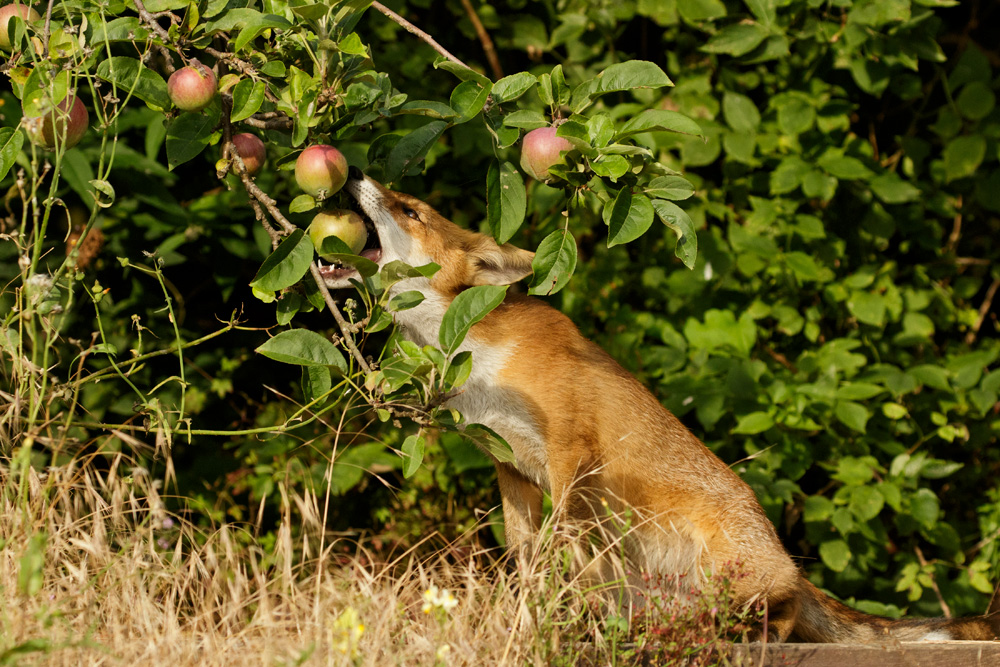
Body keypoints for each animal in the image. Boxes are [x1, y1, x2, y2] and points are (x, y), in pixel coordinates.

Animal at [318, 167, 1000, 643]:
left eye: (409, 210)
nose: (355, 174)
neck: (477, 357)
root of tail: (790, 564)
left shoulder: (570, 447)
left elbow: (563, 552)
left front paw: (552, 620)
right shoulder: (509, 465)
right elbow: (528, 562)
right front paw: (529, 623)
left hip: (729, 562)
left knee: (778, 615)